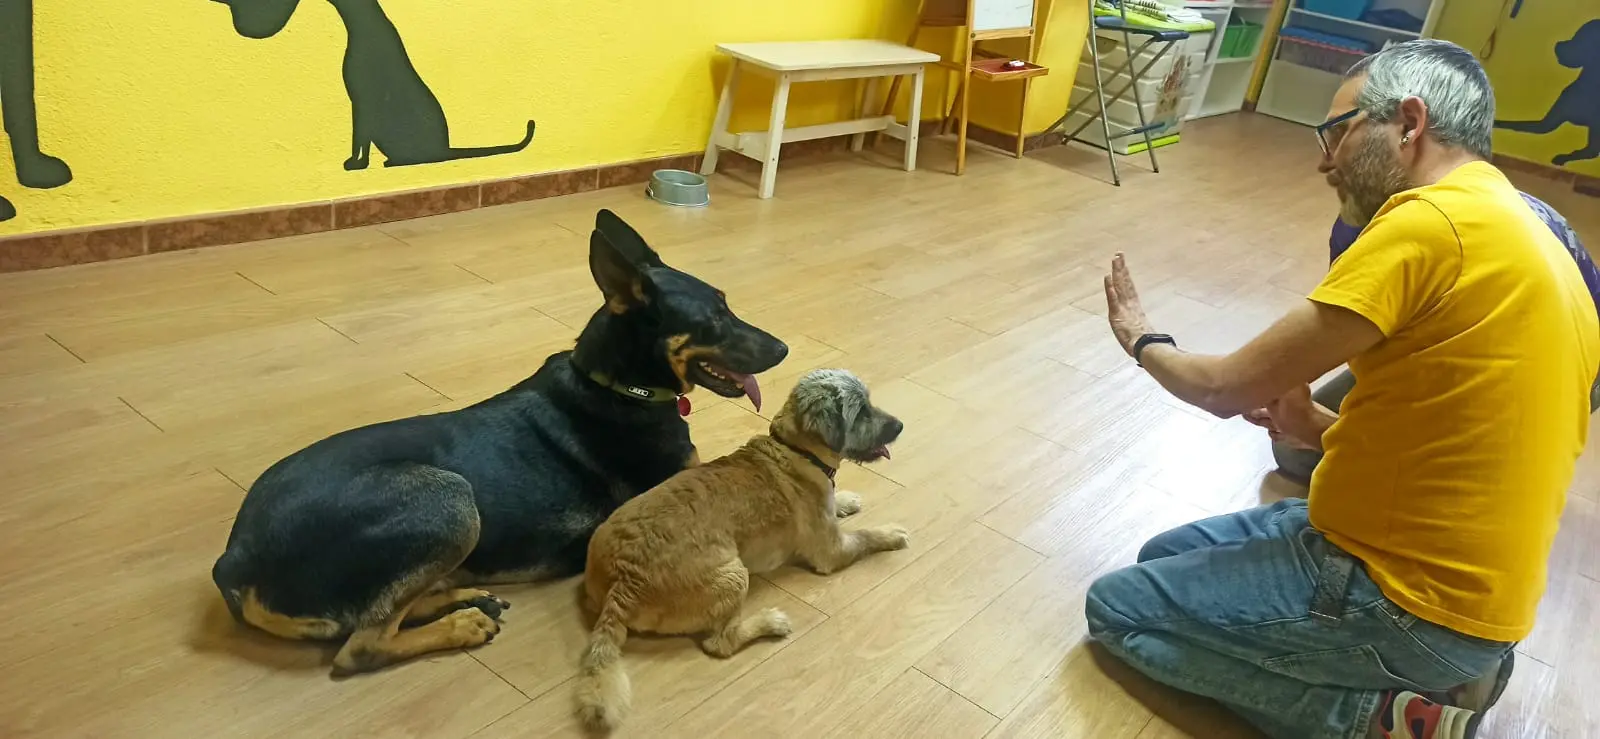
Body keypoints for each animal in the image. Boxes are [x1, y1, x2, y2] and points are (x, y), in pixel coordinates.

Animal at [211, 209, 788, 676]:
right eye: (713, 319)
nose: (784, 348)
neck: (618, 384)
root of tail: (235, 559)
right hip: (448, 497)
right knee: (362, 644)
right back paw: (460, 624)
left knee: (384, 608)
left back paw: (459, 595)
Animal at [574, 368, 908, 731]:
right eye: (860, 412)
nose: (900, 426)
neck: (794, 449)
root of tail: (623, 585)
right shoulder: (832, 551)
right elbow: (865, 536)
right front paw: (890, 532)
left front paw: (844, 500)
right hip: (735, 574)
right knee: (721, 642)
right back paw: (769, 623)